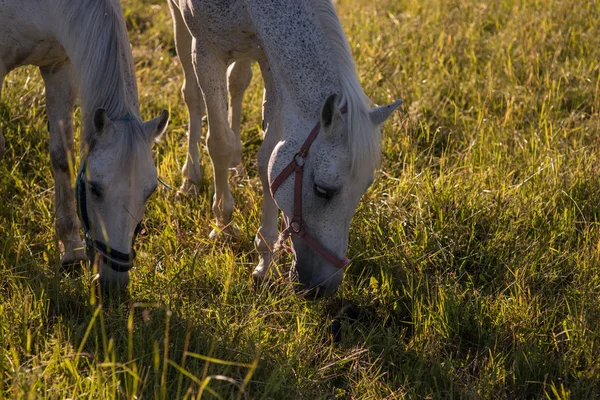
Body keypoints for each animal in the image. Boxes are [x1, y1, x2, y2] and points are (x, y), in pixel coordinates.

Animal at [0, 0, 169, 290]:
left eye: (150, 192)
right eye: (94, 188)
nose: (113, 283)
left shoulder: (59, 67)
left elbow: (61, 155)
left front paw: (70, 249)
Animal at [169, 0, 400, 296]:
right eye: (323, 190)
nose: (324, 287)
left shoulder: (271, 60)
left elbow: (268, 158)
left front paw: (265, 258)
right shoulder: (206, 51)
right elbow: (219, 143)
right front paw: (223, 225)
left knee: (238, 81)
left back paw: (236, 168)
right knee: (193, 95)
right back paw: (190, 180)